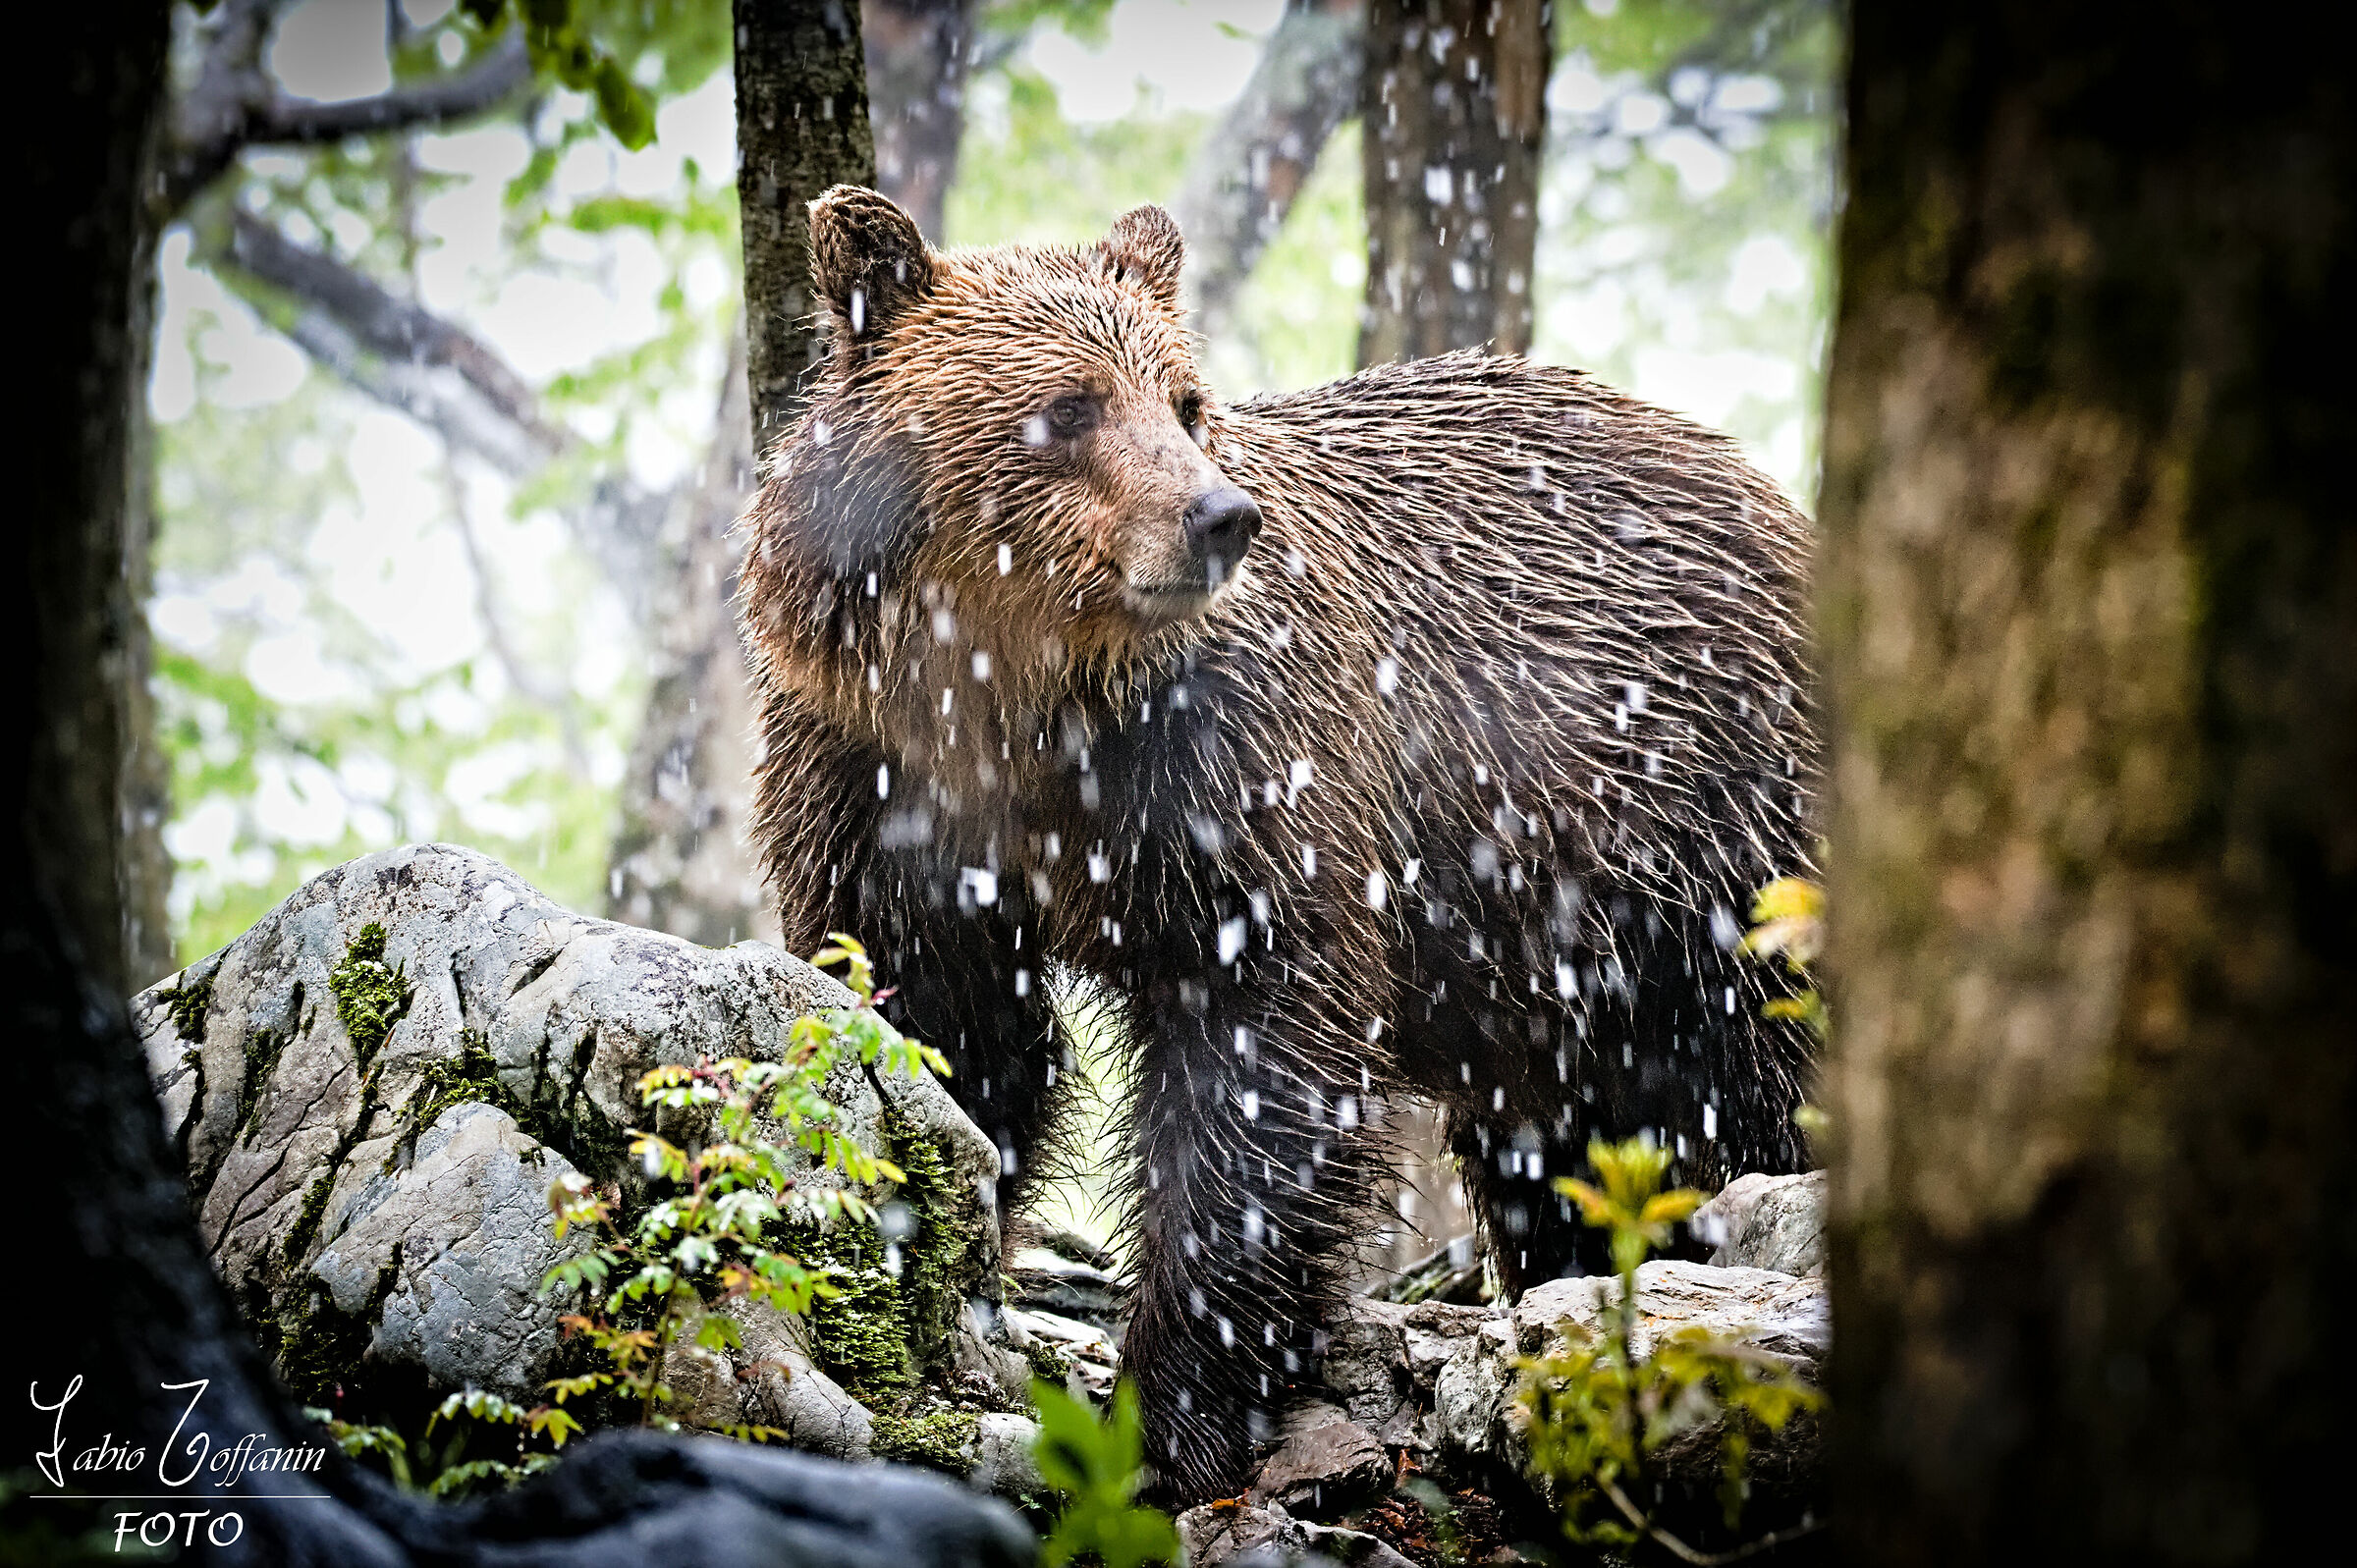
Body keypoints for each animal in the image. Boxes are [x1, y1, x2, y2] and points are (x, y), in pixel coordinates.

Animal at [738, 186, 1818, 1499]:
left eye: (1183, 398)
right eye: (1070, 404)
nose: (1217, 517)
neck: (1020, 703)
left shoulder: (1240, 775)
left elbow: (1259, 1056)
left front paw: (1176, 1409)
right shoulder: (877, 780)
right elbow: (946, 1025)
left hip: (1706, 834)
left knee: (1751, 1081)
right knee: (1570, 1135)